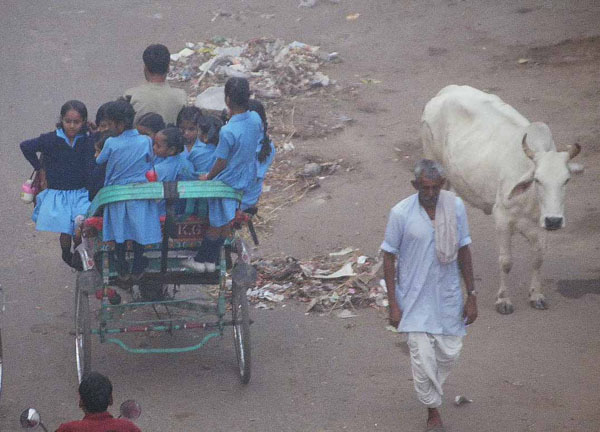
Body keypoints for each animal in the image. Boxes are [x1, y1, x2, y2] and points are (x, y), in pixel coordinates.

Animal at [420, 85, 580, 314]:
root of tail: (446, 91)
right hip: (433, 163)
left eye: (566, 180)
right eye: (537, 180)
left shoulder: (541, 225)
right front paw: (503, 300)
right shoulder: (502, 219)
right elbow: (506, 262)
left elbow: (538, 259)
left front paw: (536, 295)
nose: (554, 221)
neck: (530, 200)